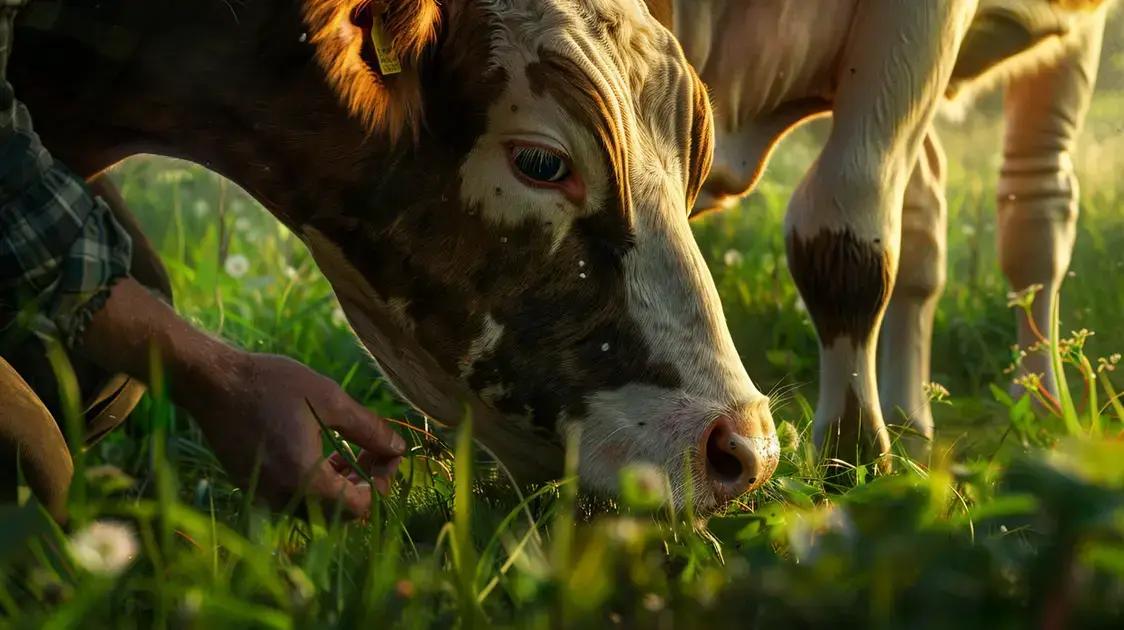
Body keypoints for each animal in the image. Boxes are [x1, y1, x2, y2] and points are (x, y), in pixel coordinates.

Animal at [646, 0, 1115, 466]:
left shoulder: (919, 24)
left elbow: (842, 223)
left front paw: (852, 452)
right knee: (921, 219)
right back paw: (910, 424)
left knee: (1036, 203)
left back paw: (1041, 410)